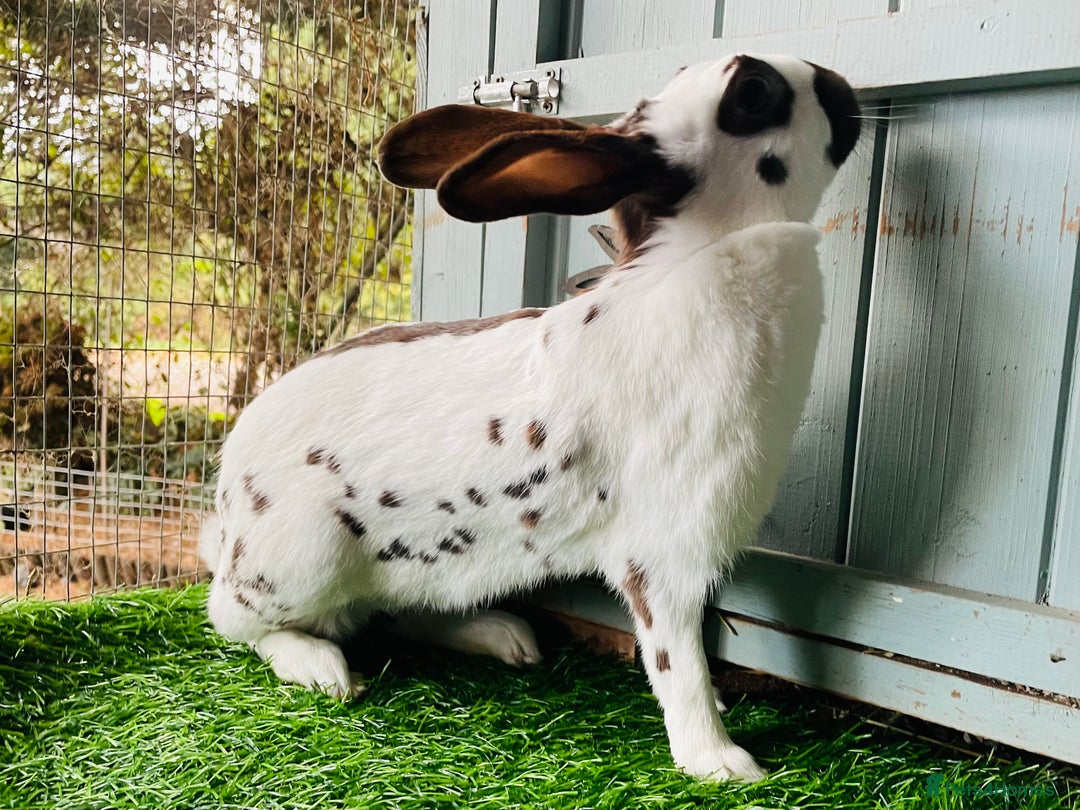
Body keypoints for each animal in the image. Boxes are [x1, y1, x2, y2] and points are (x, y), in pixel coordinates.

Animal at [200, 53, 860, 782]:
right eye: (754, 93)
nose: (841, 86)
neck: (704, 255)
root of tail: (226, 512)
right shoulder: (663, 555)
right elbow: (677, 662)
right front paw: (721, 763)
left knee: (395, 613)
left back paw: (503, 636)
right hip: (302, 560)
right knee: (236, 620)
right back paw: (322, 668)